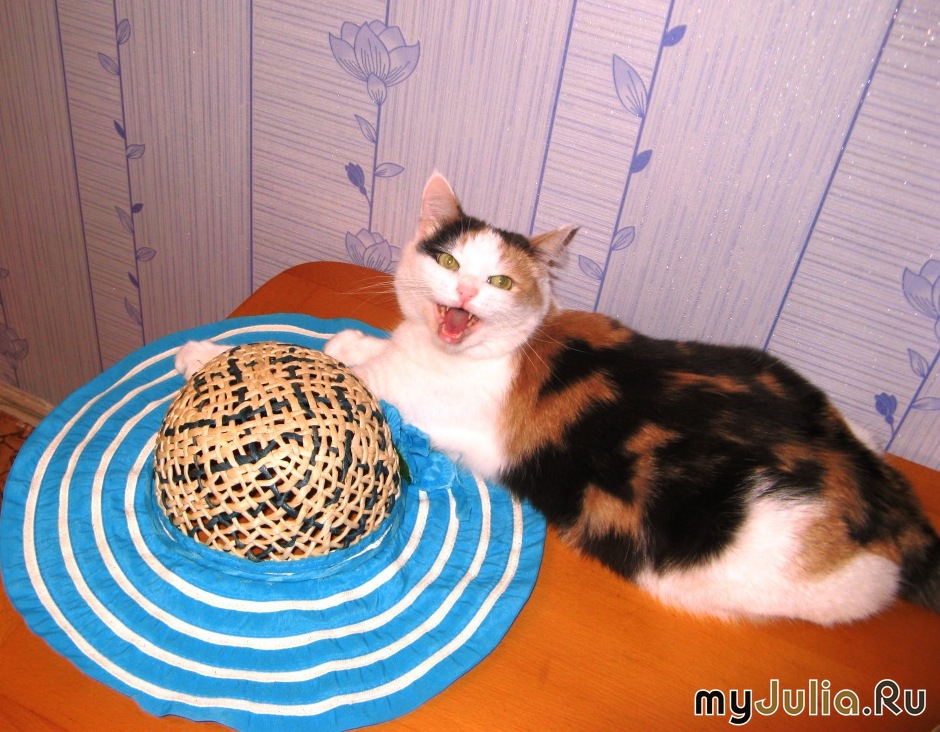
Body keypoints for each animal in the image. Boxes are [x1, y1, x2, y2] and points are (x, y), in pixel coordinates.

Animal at [177, 172, 940, 625]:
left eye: (501, 283)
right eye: (449, 261)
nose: (464, 291)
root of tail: (885, 498)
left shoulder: (422, 401)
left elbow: (339, 374)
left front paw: (203, 358)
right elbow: (355, 350)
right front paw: (347, 339)